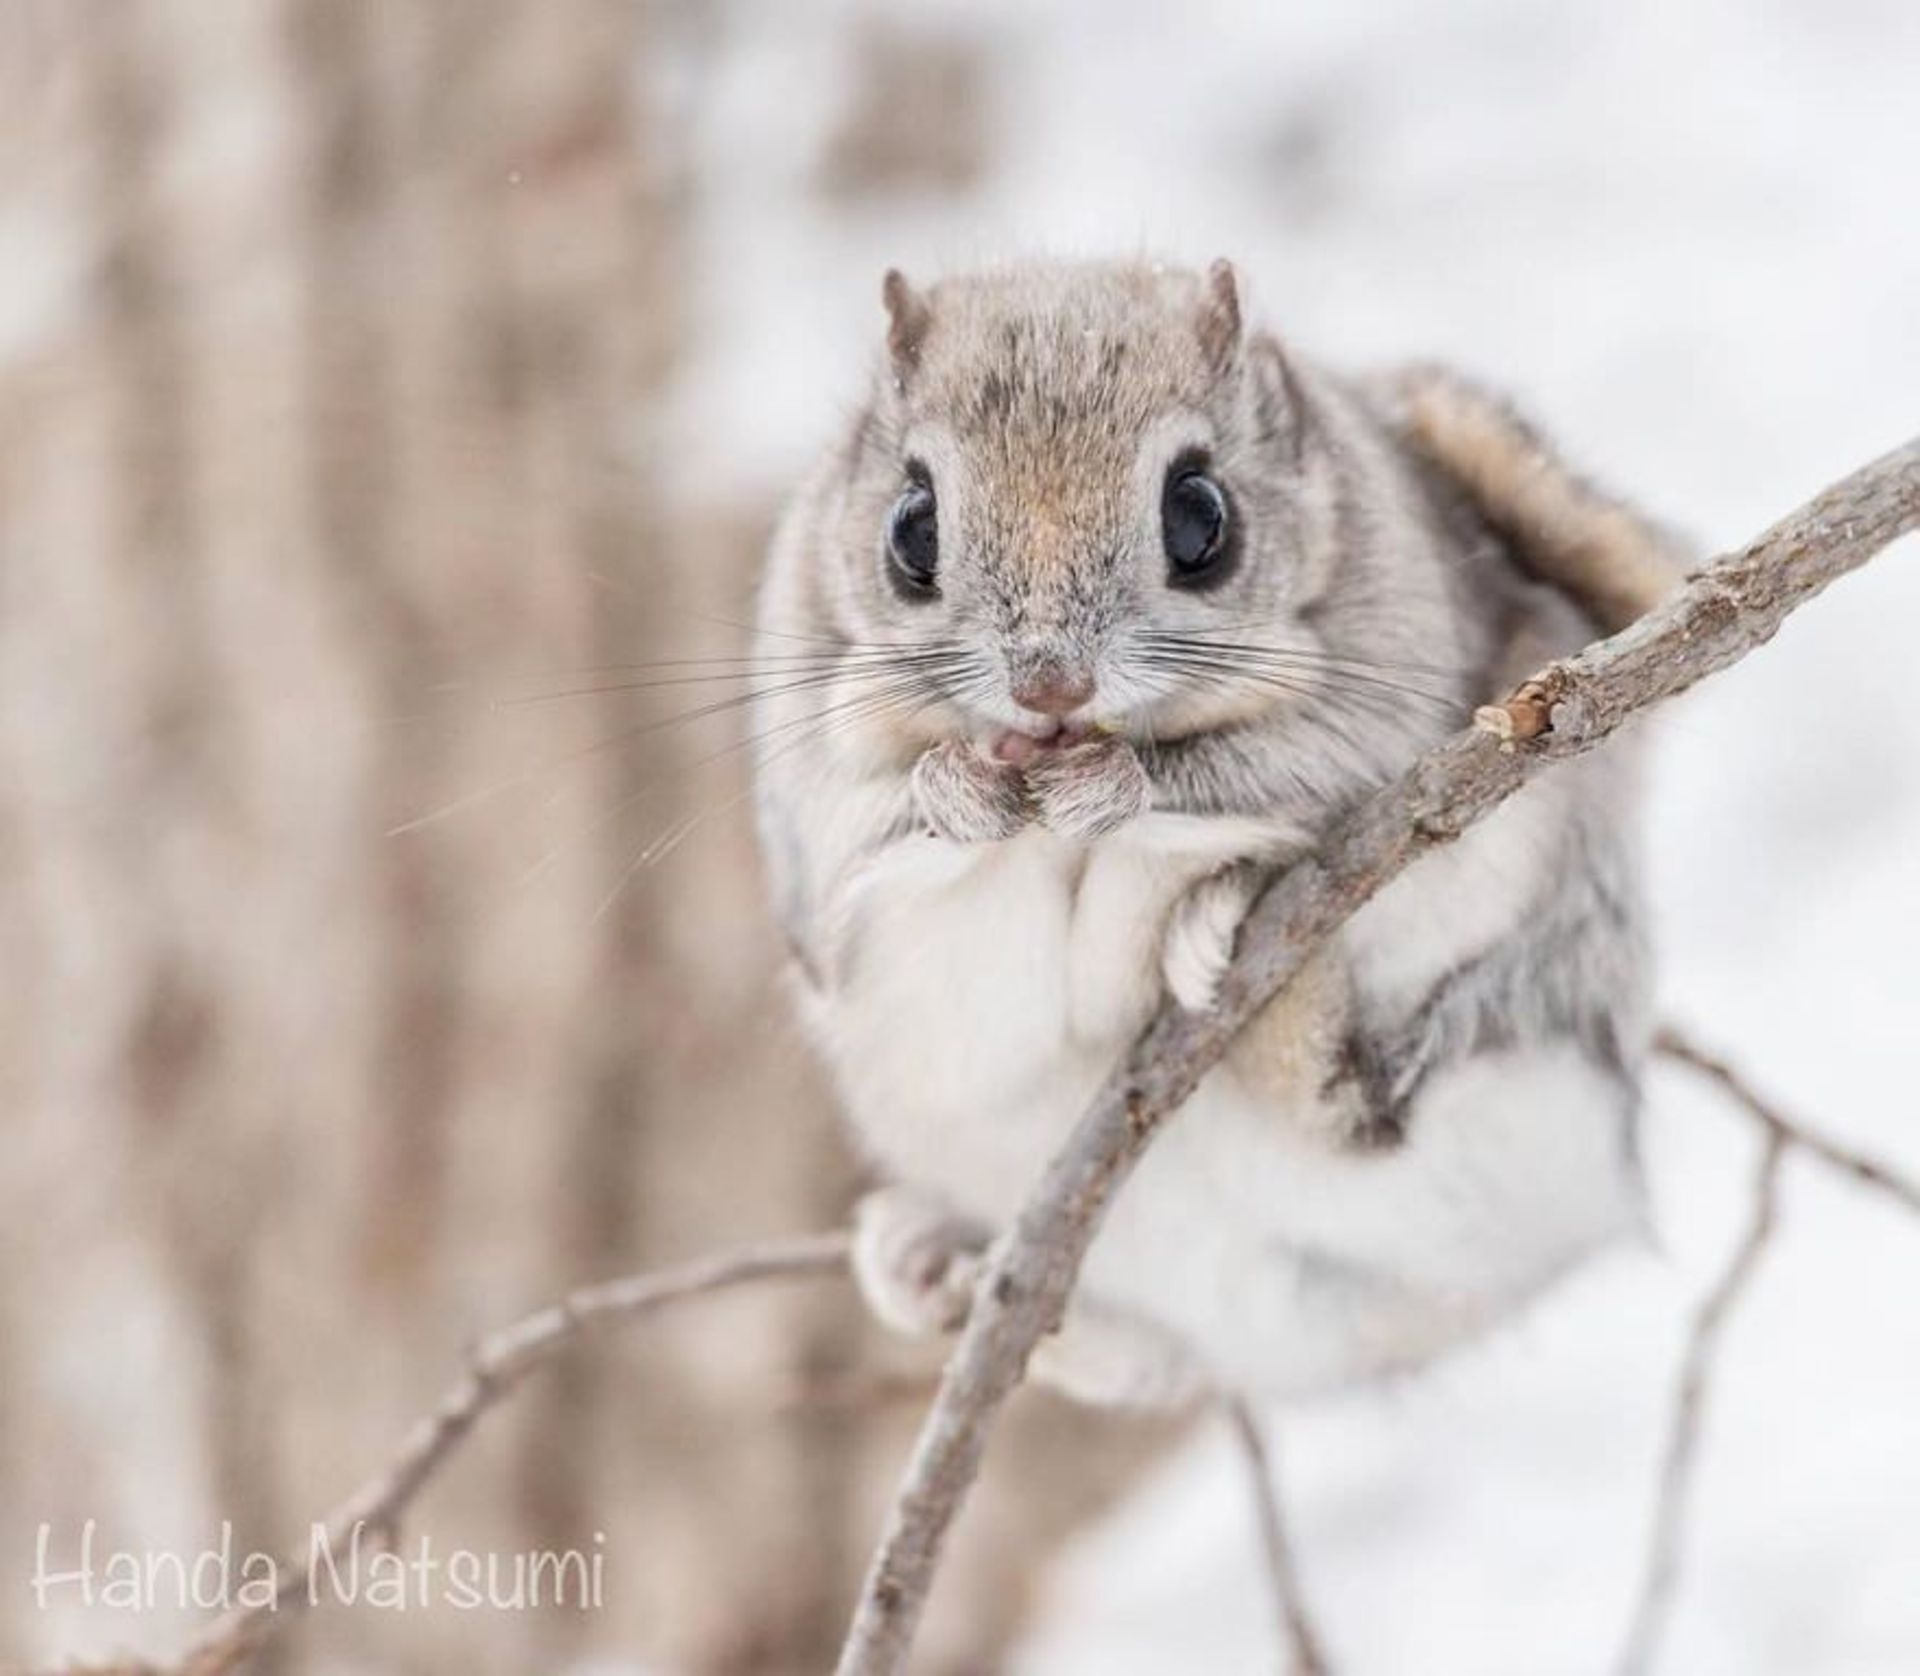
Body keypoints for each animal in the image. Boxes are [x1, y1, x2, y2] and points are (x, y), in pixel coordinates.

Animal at [748, 261, 1681, 1405]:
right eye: (909, 529)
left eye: (1200, 518)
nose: (1049, 687)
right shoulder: (812, 775)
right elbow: (877, 839)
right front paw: (958, 790)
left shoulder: (1387, 691)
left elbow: (1246, 771)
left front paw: (1118, 790)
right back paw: (927, 1267)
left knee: (1357, 1102)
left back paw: (1239, 940)